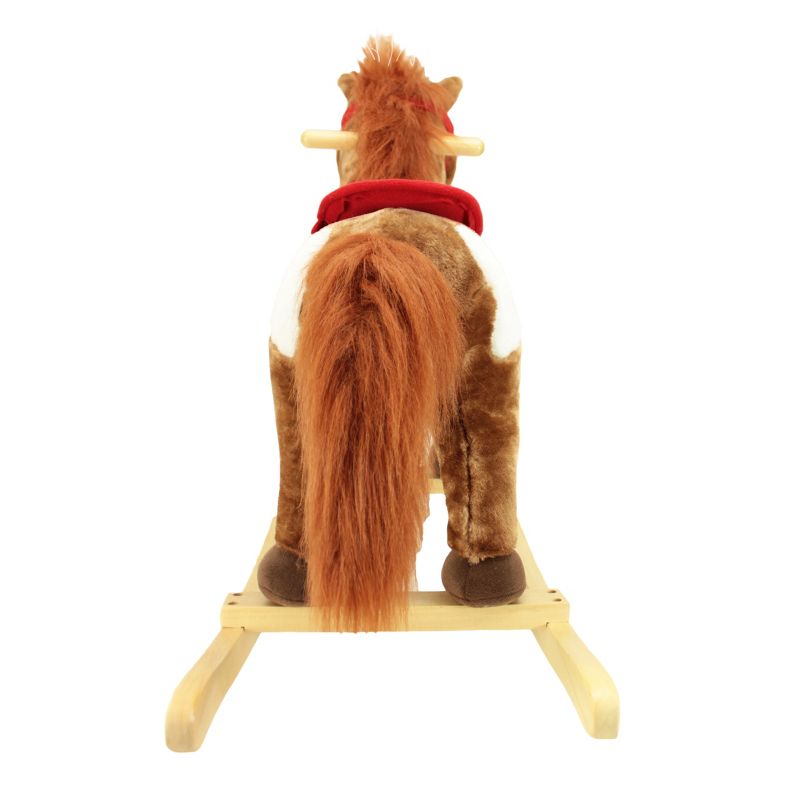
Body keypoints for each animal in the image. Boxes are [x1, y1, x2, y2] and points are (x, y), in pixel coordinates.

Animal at [258, 36, 525, 631]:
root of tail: (380, 244)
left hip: (293, 369)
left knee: (300, 471)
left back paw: (289, 578)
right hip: (490, 367)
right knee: (485, 468)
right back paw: (490, 581)